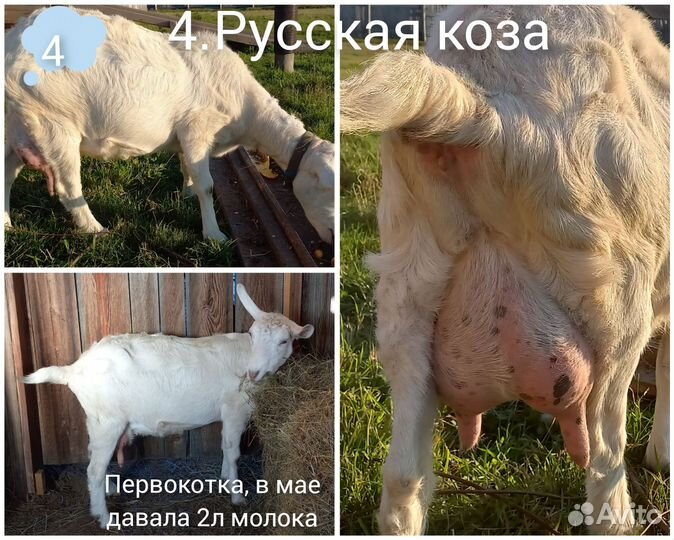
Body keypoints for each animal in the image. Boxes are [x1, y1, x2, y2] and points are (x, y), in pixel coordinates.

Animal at [5, 7, 334, 243]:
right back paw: (95, 228)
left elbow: (187, 167)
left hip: (16, 128)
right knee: (67, 186)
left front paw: (186, 194)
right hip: (53, 122)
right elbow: (207, 185)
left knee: (6, 176)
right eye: (326, 186)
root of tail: (12, 44)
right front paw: (214, 235)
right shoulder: (198, 128)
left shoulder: (186, 137)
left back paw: (7, 224)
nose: (333, 238)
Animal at [23, 284, 314, 528]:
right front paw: (237, 496)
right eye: (252, 334)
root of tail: (73, 370)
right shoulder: (235, 410)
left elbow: (225, 448)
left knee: (94, 459)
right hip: (108, 421)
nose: (252, 373)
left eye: (283, 341)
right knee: (94, 469)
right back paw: (105, 519)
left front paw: (224, 479)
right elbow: (233, 451)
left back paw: (108, 491)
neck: (245, 355)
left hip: (96, 420)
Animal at [341, 5, 668, 535]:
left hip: (405, 285)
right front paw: (662, 455)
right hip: (614, 300)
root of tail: (484, 107)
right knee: (604, 463)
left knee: (403, 478)